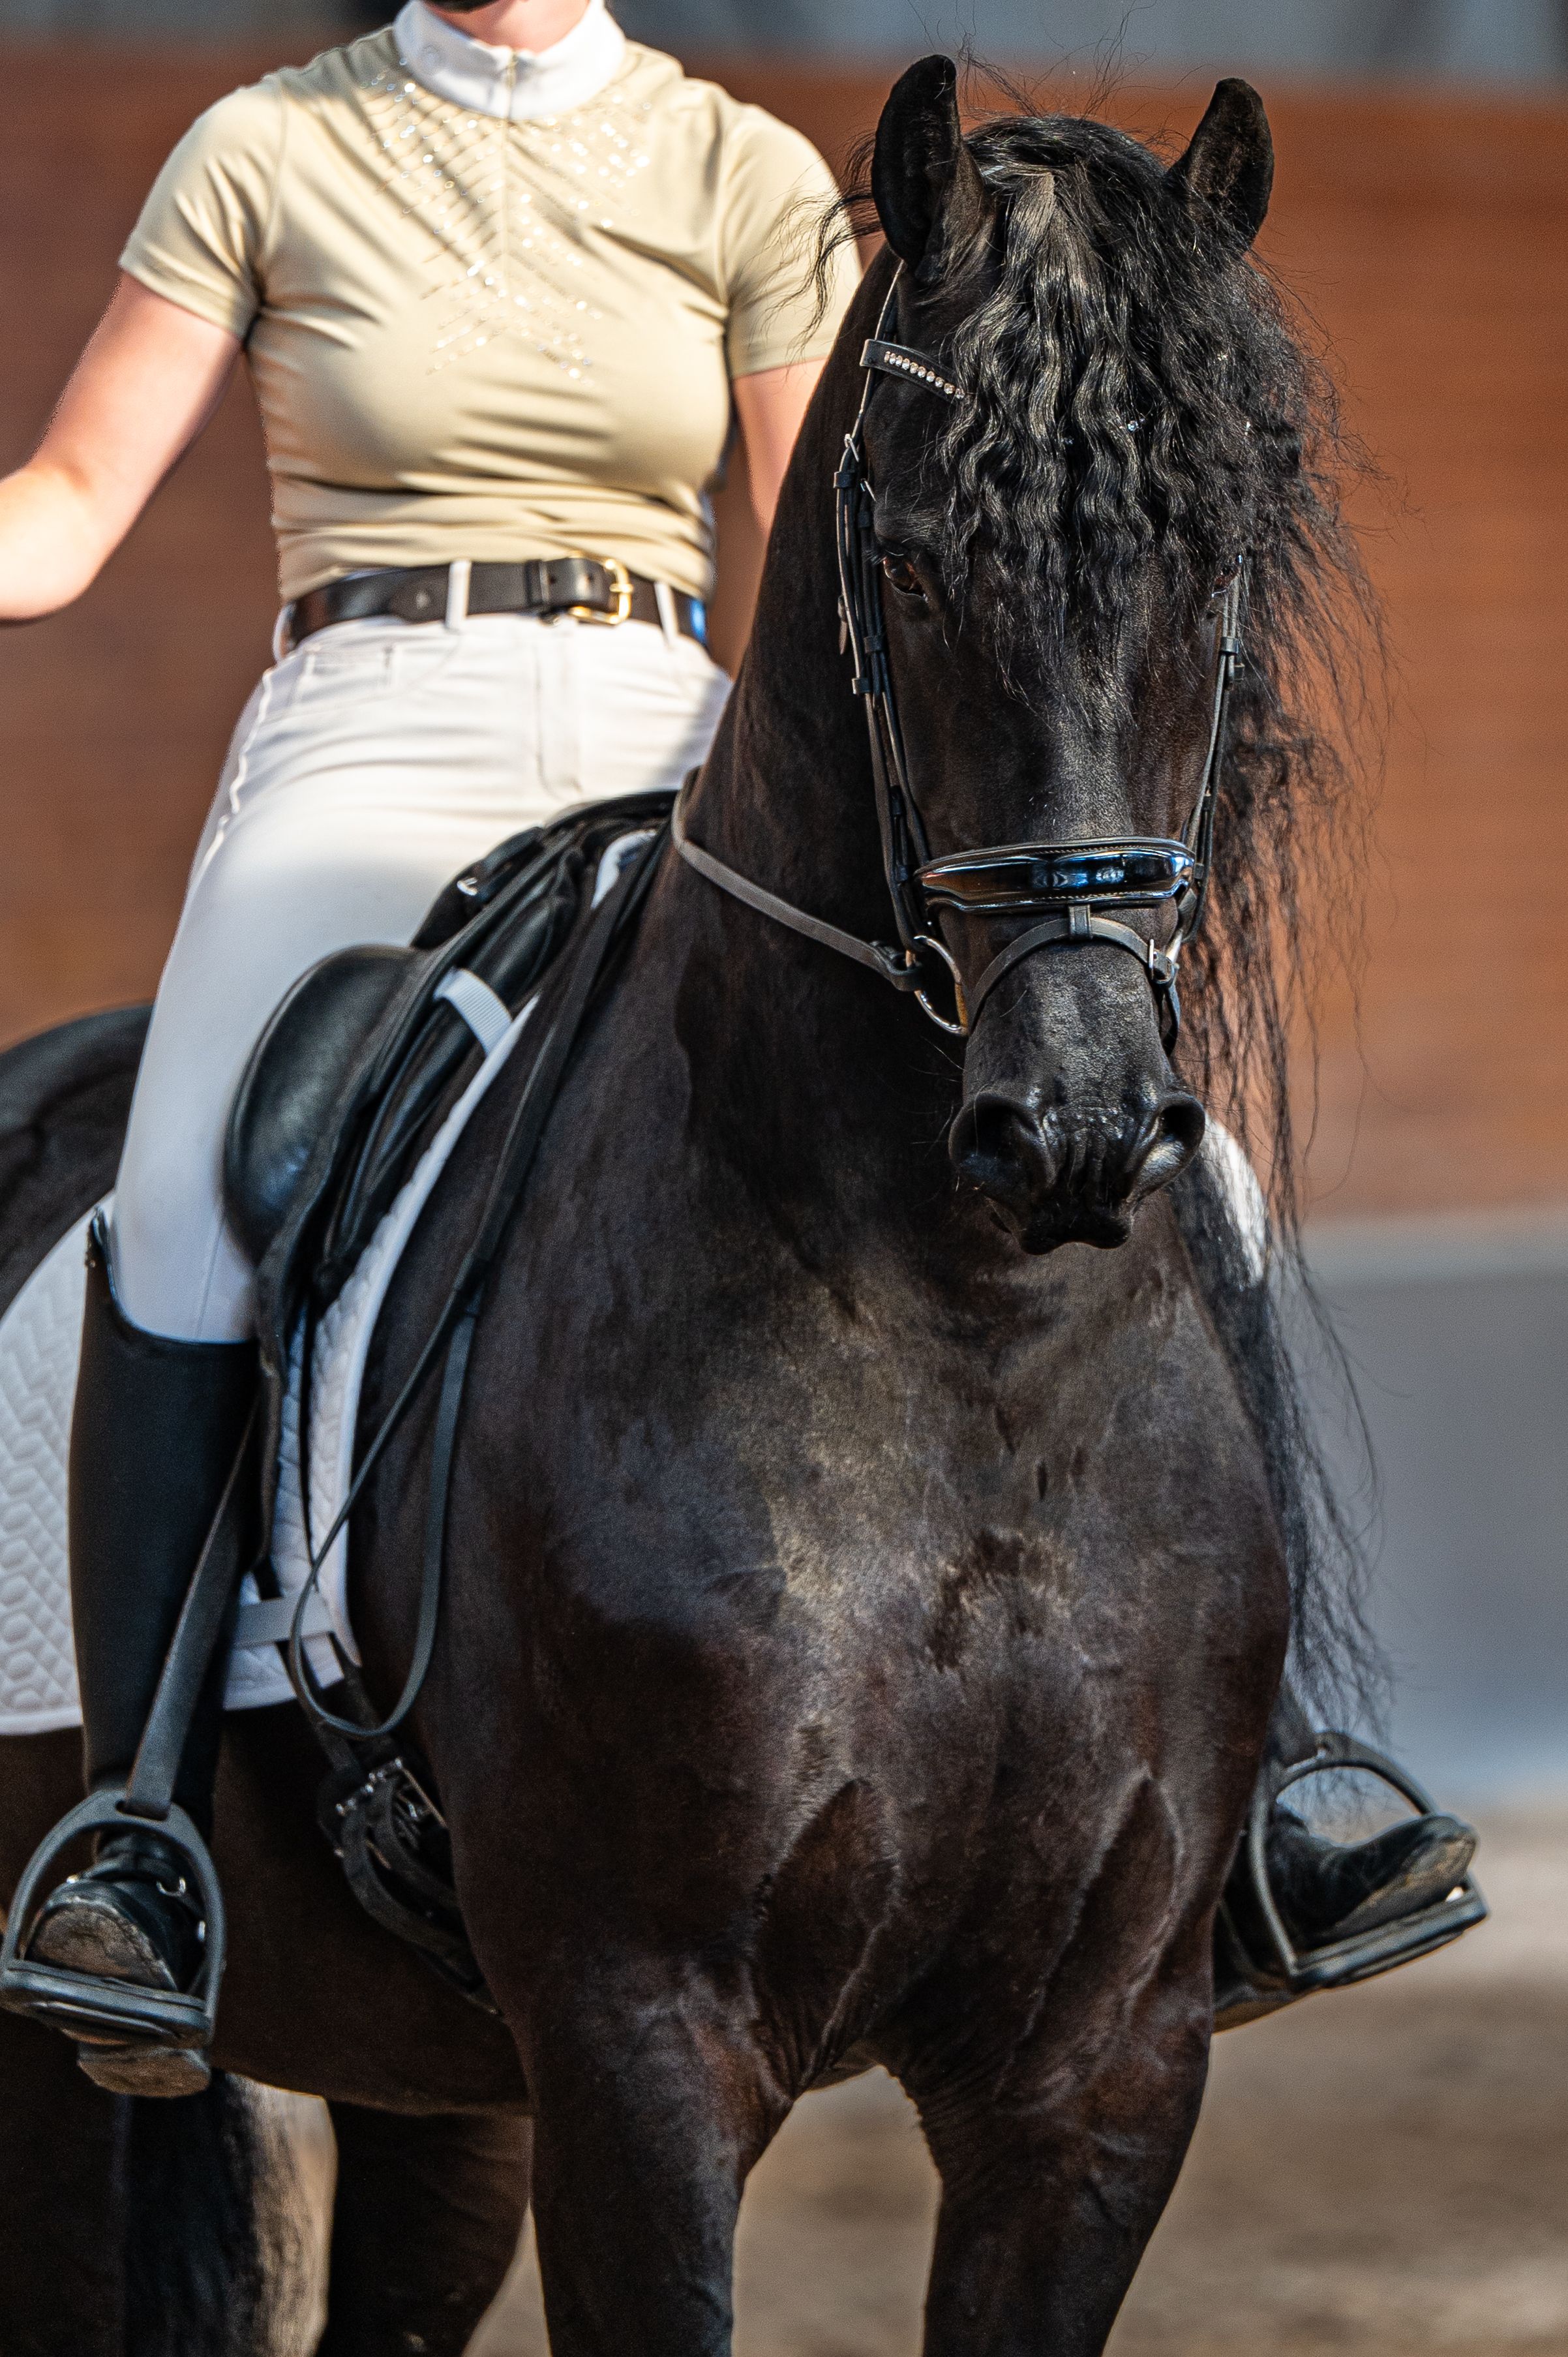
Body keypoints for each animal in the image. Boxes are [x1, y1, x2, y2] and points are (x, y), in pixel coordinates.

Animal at [0, 59, 1377, 2355]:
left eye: (1213, 548)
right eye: (906, 553)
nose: (1076, 1121)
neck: (968, 1344)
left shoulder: (1099, 2072)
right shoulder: (641, 2045)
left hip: (429, 2087)